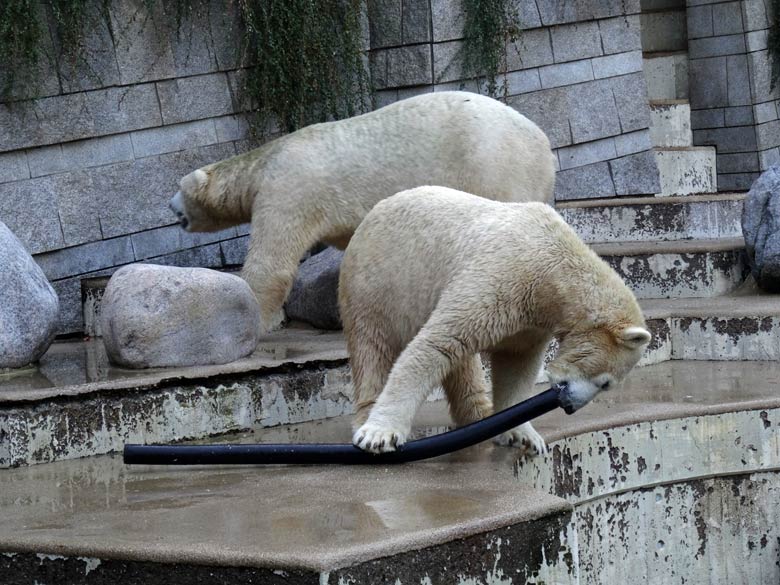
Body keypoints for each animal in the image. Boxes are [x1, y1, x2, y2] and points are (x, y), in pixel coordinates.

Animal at [168, 90, 556, 328]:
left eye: (179, 189)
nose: (170, 207)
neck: (266, 161)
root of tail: (544, 142)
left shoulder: (290, 188)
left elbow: (271, 265)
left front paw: (254, 322)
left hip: (494, 164)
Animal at [342, 187, 652, 456]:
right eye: (606, 383)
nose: (570, 406)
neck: (552, 268)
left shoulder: (530, 318)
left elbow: (516, 362)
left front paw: (523, 436)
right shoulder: (500, 278)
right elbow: (437, 344)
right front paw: (380, 434)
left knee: (462, 364)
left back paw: (479, 416)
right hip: (376, 284)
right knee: (372, 347)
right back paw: (366, 416)